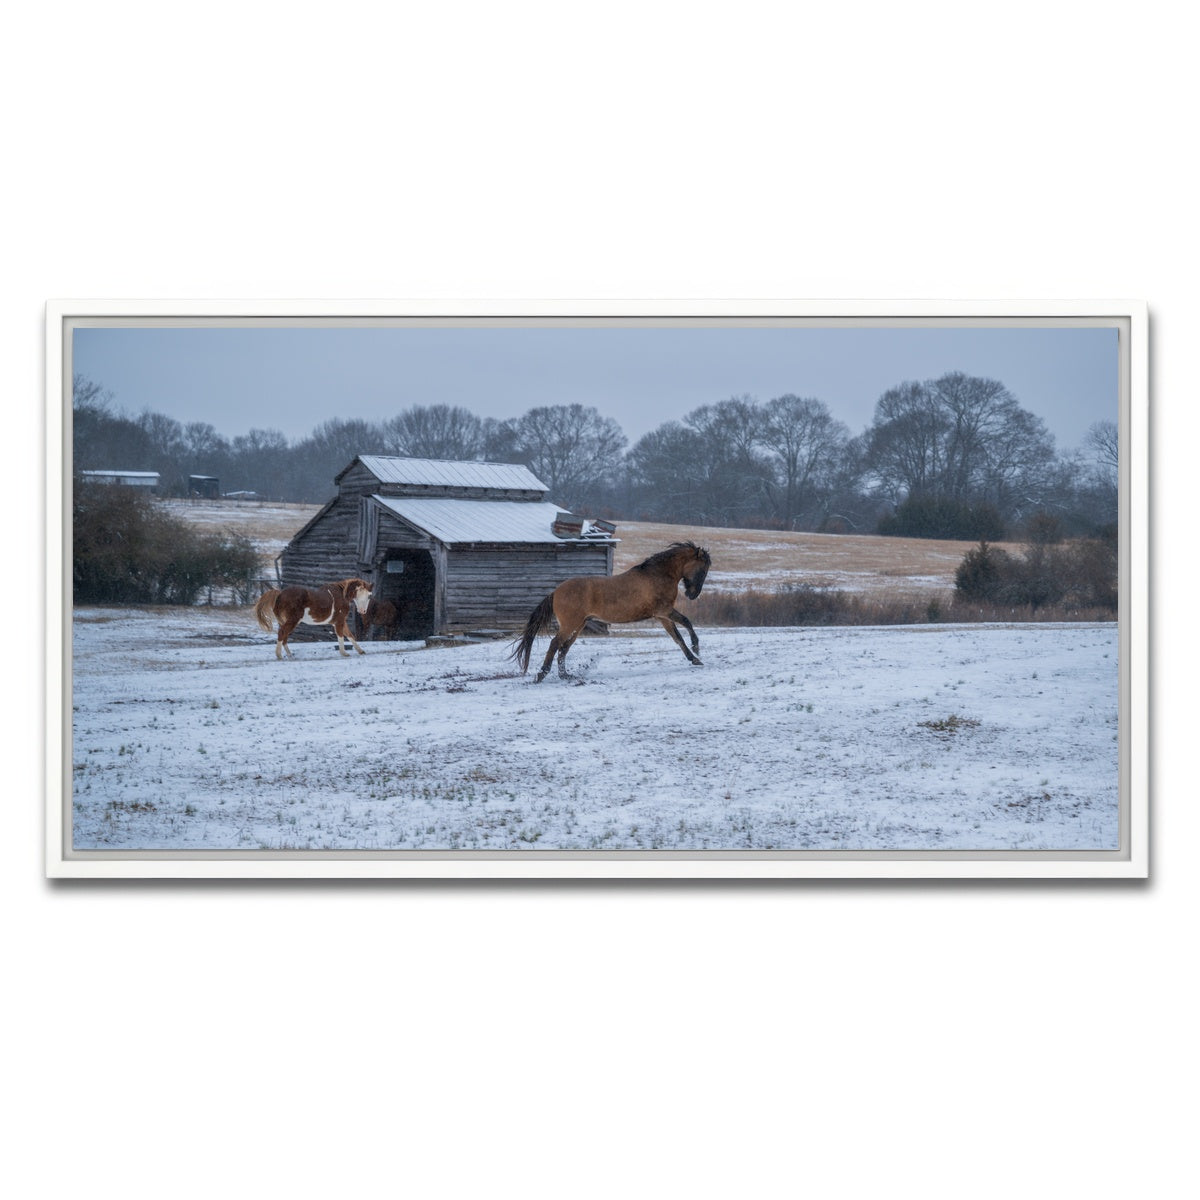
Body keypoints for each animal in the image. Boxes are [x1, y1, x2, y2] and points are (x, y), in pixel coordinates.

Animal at [511, 541, 711, 682]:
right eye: (703, 569)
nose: (693, 595)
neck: (658, 575)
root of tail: (555, 592)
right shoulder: (665, 611)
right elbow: (686, 622)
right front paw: (696, 648)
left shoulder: (662, 616)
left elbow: (677, 637)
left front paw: (694, 659)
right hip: (570, 624)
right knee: (555, 644)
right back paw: (542, 674)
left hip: (579, 625)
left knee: (564, 647)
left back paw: (565, 675)